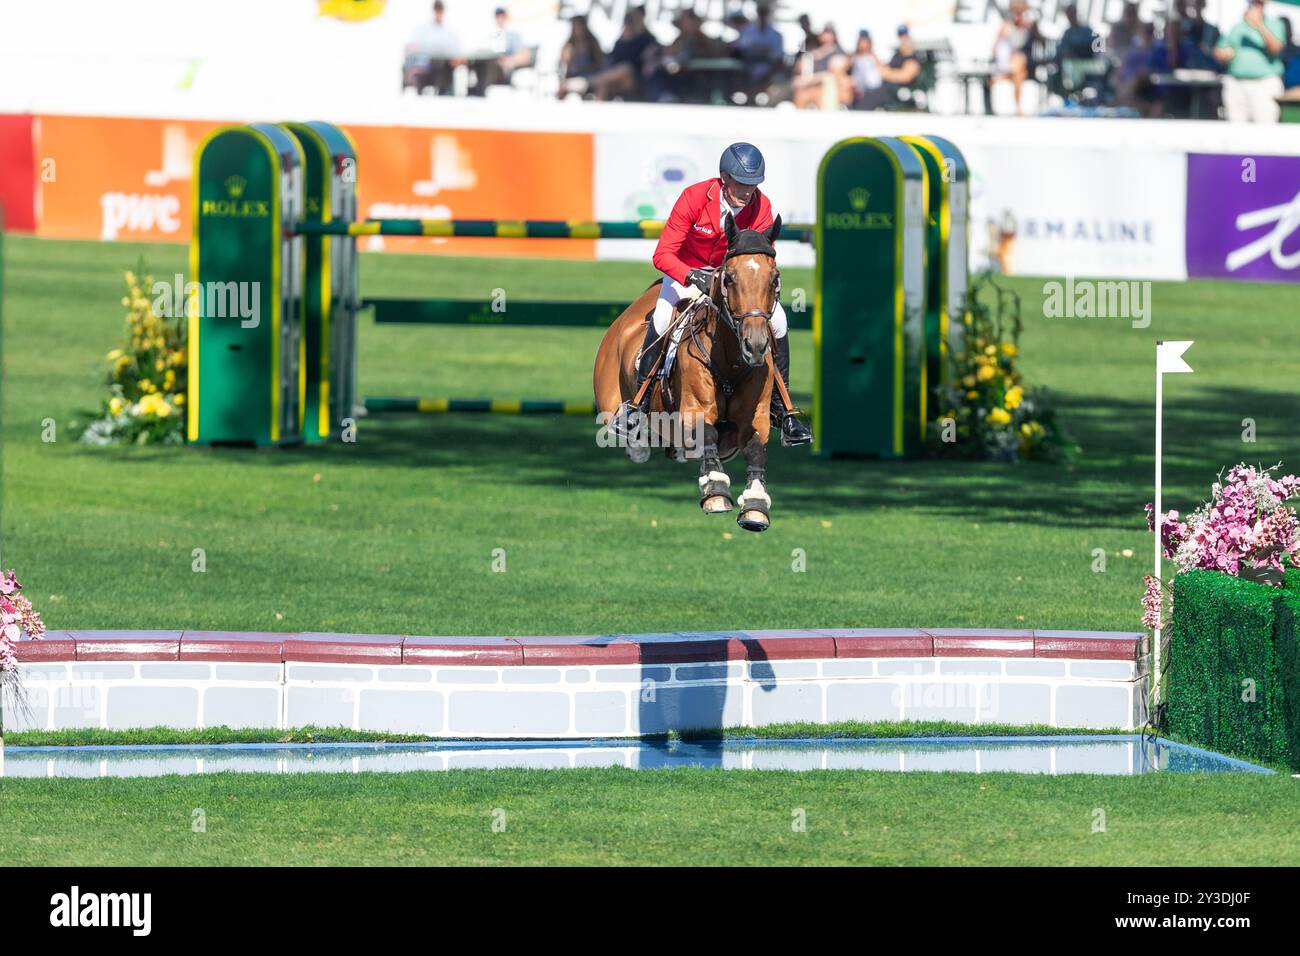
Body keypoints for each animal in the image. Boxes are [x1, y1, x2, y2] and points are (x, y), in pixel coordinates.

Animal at [595, 213, 780, 535]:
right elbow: (707, 431)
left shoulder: (755, 416)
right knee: (630, 430)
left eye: (775, 278)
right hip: (611, 400)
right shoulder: (695, 407)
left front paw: (756, 506)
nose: (756, 345)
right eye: (729, 278)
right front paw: (715, 491)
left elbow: (756, 447)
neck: (730, 359)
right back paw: (637, 440)